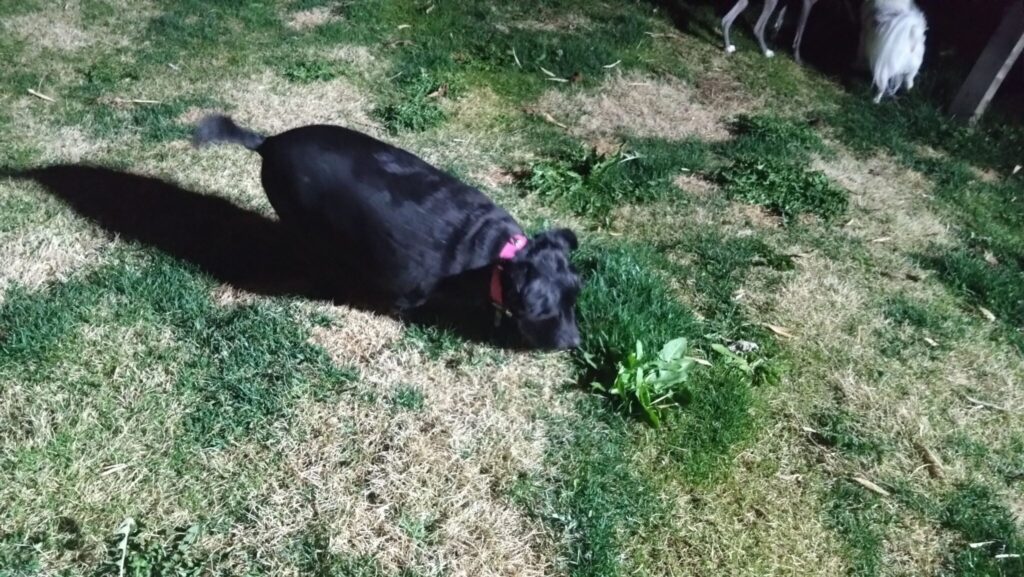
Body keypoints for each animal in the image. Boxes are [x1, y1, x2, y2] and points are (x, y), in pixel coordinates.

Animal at [192, 115, 582, 350]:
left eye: (575, 298)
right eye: (542, 311)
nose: (574, 343)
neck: (497, 252)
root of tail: (267, 142)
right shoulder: (407, 289)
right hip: (299, 218)